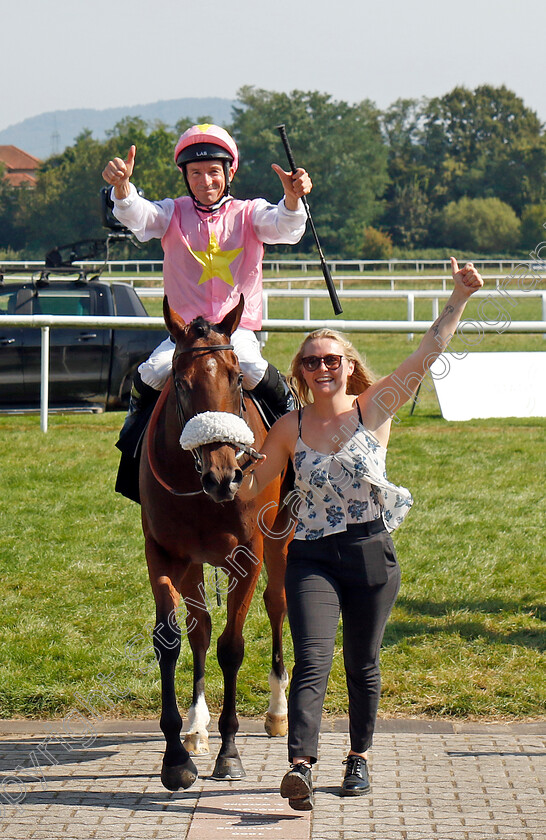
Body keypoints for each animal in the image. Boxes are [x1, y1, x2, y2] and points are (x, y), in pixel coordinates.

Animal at [140, 294, 294, 788]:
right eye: (181, 383)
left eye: (237, 378)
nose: (224, 476)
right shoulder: (164, 553)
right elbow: (173, 639)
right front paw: (176, 755)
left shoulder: (247, 554)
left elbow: (232, 646)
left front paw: (229, 752)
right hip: (193, 562)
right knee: (201, 628)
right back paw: (195, 727)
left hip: (281, 536)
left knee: (277, 602)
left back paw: (278, 711)